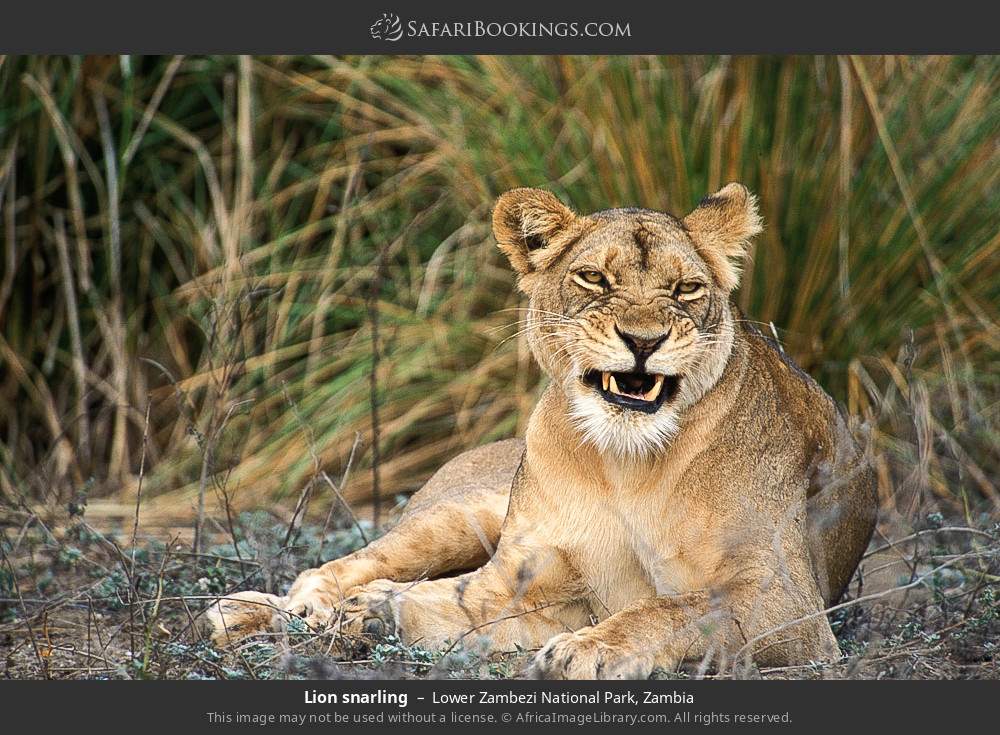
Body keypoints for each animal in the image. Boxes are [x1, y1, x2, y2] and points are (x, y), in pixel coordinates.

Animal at [208, 183, 877, 679]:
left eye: (686, 289)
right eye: (594, 279)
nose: (643, 341)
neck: (624, 465)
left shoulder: (788, 604)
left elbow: (675, 608)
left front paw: (590, 648)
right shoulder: (520, 582)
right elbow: (450, 602)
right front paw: (364, 613)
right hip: (457, 516)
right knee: (326, 572)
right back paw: (256, 612)